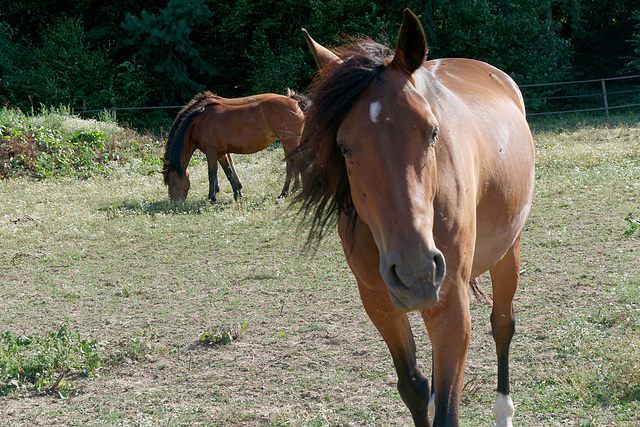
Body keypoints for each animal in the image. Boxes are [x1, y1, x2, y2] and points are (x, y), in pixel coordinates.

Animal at [162, 91, 308, 201]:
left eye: (173, 182)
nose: (175, 202)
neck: (199, 122)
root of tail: (295, 102)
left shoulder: (211, 152)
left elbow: (211, 173)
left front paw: (212, 197)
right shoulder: (221, 154)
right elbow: (228, 173)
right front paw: (237, 194)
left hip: (290, 142)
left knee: (298, 163)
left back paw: (291, 192)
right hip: (288, 144)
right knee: (292, 164)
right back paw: (289, 192)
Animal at [296, 10, 536, 427]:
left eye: (433, 131)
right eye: (344, 147)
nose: (417, 273)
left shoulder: (452, 302)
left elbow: (448, 411)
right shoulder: (379, 301)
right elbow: (414, 388)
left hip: (508, 251)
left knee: (503, 324)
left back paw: (503, 410)